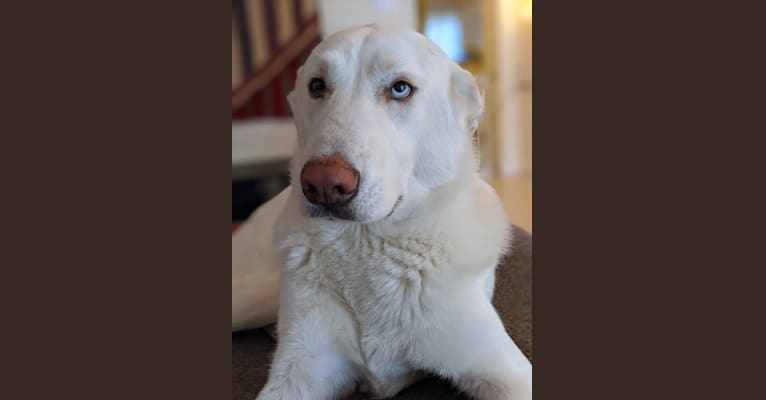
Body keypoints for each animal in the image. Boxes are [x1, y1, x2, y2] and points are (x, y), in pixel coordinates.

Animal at [234, 25, 536, 400]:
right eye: (317, 86)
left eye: (400, 88)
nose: (323, 184)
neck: (365, 245)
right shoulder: (299, 373)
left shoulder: (503, 367)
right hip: (255, 294)